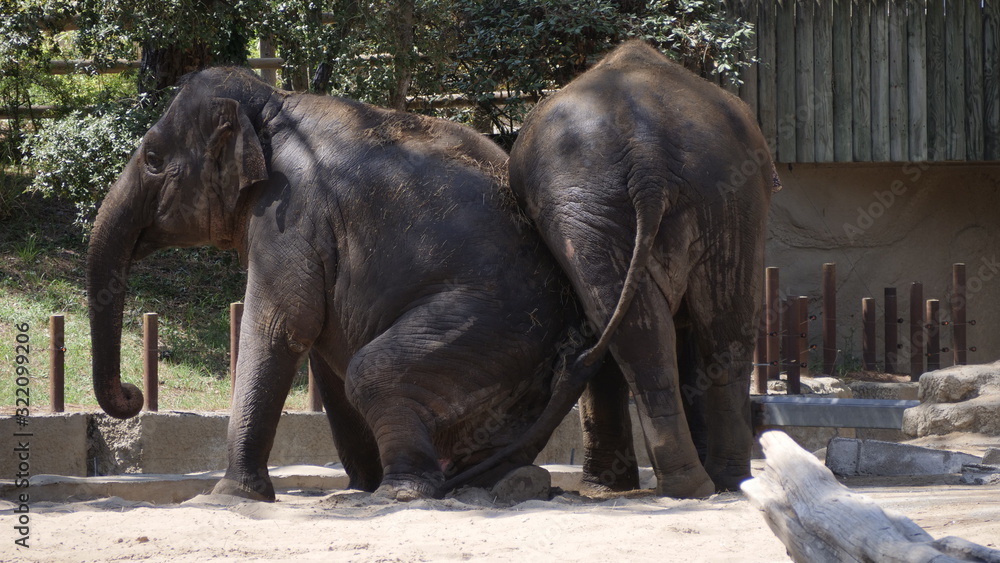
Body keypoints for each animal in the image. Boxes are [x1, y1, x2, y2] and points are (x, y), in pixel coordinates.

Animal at [86, 66, 590, 501]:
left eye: (153, 159)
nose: (131, 395)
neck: (271, 102)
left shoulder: (290, 210)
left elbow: (280, 327)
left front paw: (229, 496)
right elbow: (323, 348)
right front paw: (356, 486)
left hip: (494, 327)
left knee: (373, 373)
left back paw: (399, 493)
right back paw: (496, 482)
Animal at [508, 41, 779, 498]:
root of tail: (647, 157)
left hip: (641, 202)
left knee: (665, 329)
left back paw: (699, 483)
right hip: (691, 198)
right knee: (695, 332)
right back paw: (708, 483)